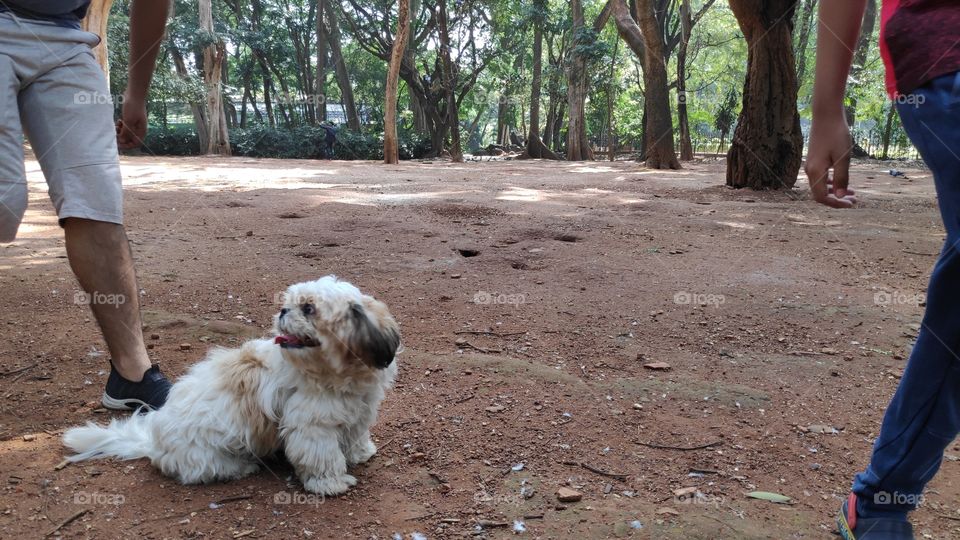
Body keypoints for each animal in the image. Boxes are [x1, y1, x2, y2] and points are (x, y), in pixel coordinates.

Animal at [62, 276, 402, 496]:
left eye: (308, 308)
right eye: (292, 305)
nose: (283, 311)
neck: (336, 371)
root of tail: (153, 441)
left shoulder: (359, 409)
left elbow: (355, 434)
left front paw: (360, 453)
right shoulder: (311, 425)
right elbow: (321, 455)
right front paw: (331, 483)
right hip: (206, 456)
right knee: (206, 469)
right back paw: (243, 467)